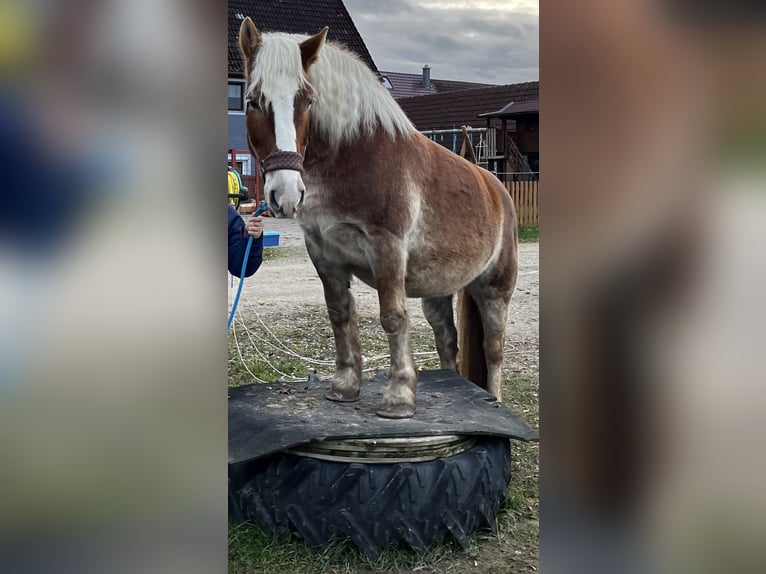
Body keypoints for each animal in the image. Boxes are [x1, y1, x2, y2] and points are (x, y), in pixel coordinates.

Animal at [237, 18, 520, 420]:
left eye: (307, 101)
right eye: (253, 101)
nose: (287, 194)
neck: (353, 158)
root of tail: (498, 190)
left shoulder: (387, 248)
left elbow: (393, 317)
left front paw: (399, 396)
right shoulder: (323, 252)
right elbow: (340, 313)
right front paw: (344, 386)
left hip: (494, 289)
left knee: (494, 349)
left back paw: (493, 399)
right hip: (438, 290)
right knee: (447, 341)